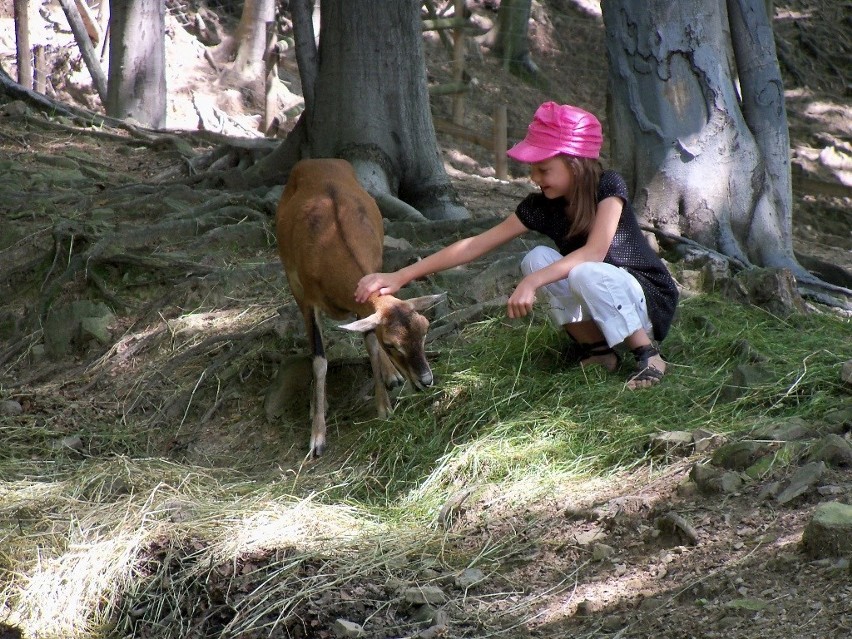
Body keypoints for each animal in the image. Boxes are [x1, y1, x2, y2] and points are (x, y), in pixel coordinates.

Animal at [276, 158, 442, 458]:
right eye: (392, 344)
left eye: (425, 330)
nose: (426, 380)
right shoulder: (307, 299)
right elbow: (320, 360)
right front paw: (317, 438)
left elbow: (370, 344)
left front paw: (385, 407)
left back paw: (391, 376)